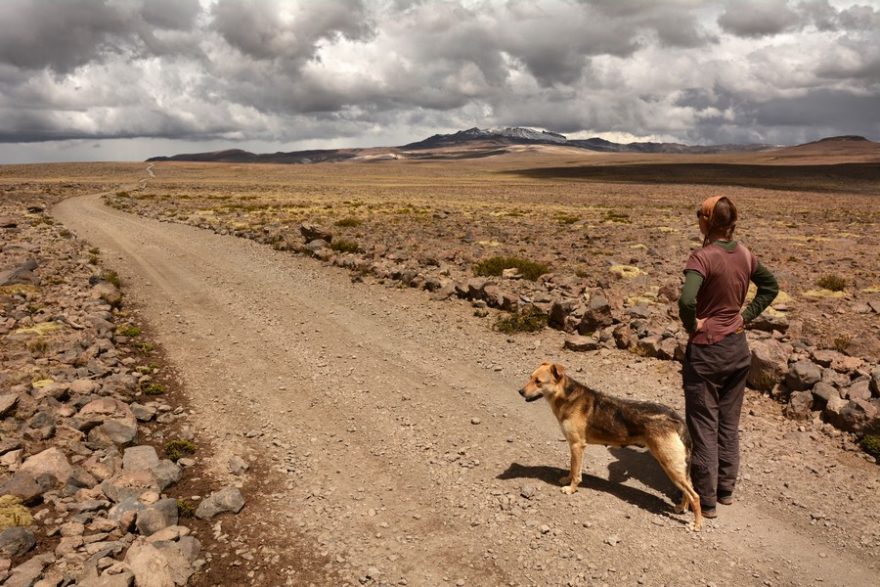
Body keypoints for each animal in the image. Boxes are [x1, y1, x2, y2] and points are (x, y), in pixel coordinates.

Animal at [524, 360, 700, 532]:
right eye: (530, 377)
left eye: (538, 382)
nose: (520, 391)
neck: (567, 397)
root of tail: (677, 419)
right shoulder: (574, 446)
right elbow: (572, 468)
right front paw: (567, 480)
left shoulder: (577, 445)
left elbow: (576, 472)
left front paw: (571, 489)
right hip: (678, 467)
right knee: (689, 489)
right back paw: (681, 508)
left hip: (670, 465)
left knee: (695, 496)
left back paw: (697, 524)